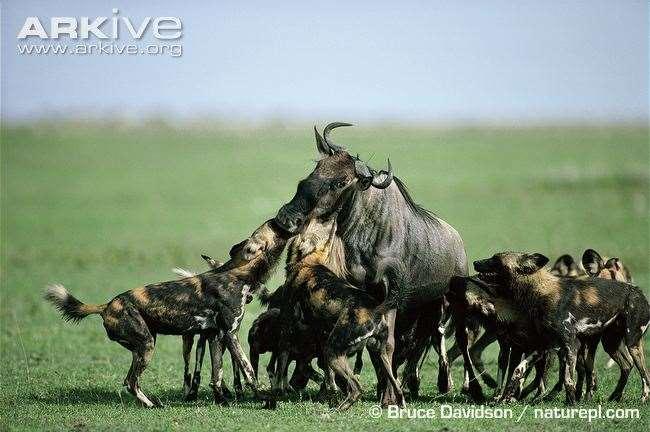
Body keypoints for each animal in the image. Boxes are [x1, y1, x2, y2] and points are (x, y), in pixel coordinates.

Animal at [45, 219, 288, 408]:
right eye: (272, 229)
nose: (278, 221)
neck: (238, 274)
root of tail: (106, 306)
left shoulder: (215, 336)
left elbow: (216, 375)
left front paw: (222, 401)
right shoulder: (230, 334)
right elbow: (249, 371)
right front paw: (263, 398)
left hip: (143, 346)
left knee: (128, 381)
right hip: (146, 346)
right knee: (131, 382)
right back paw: (151, 405)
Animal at [470, 251, 648, 404]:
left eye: (496, 260)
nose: (475, 262)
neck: (538, 293)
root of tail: (638, 291)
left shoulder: (570, 345)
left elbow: (568, 380)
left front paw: (572, 404)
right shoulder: (542, 346)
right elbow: (518, 370)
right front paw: (508, 397)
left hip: (632, 343)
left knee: (645, 374)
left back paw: (643, 399)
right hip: (610, 344)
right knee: (626, 366)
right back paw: (614, 396)